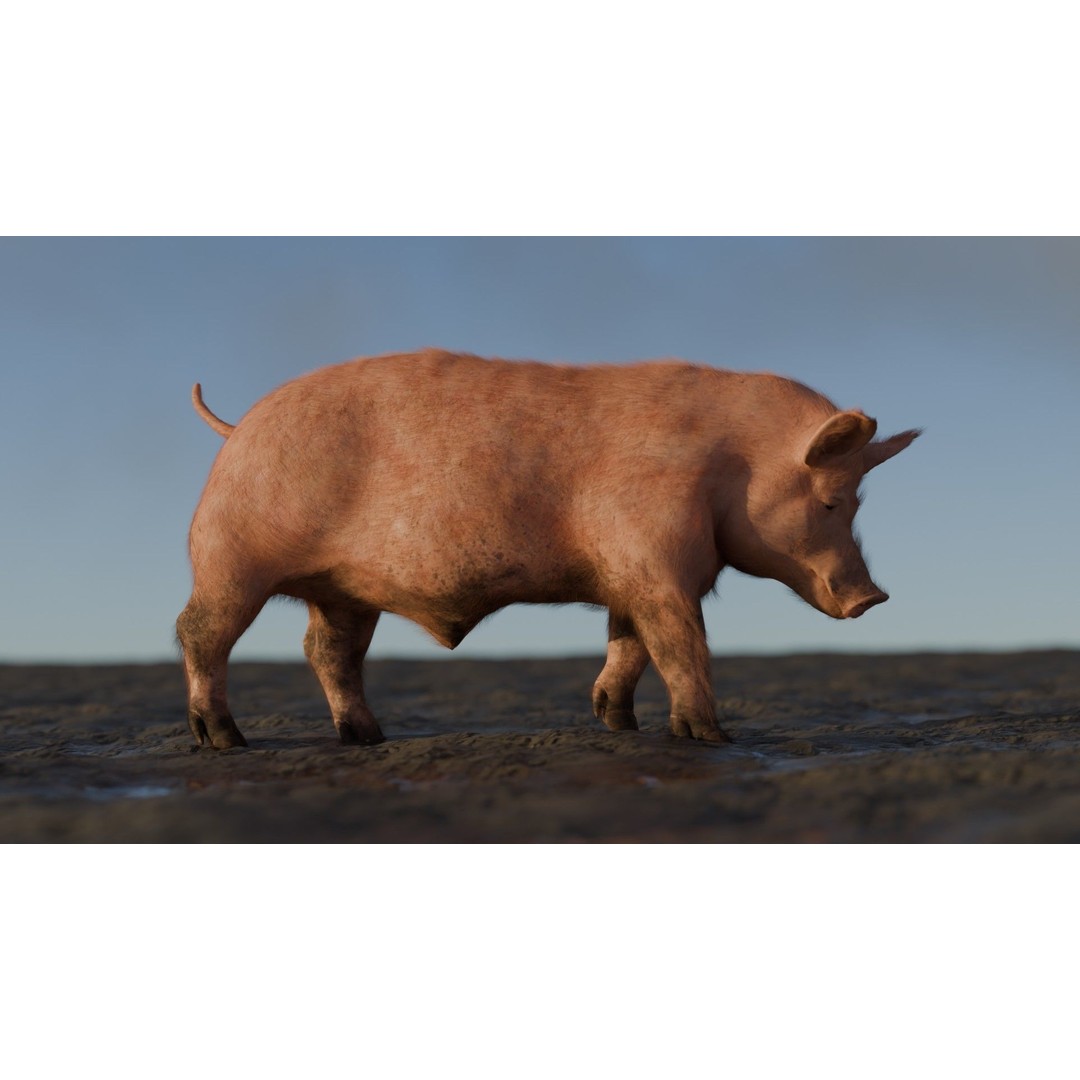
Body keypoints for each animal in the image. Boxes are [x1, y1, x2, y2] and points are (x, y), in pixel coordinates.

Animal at [177, 349, 919, 749]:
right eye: (831, 500)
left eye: (857, 501)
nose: (874, 596)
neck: (728, 465)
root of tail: (238, 426)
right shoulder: (655, 564)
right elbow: (683, 645)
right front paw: (712, 738)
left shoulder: (628, 575)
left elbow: (630, 646)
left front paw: (618, 725)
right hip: (229, 558)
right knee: (199, 632)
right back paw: (226, 740)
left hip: (343, 591)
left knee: (325, 651)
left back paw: (367, 738)